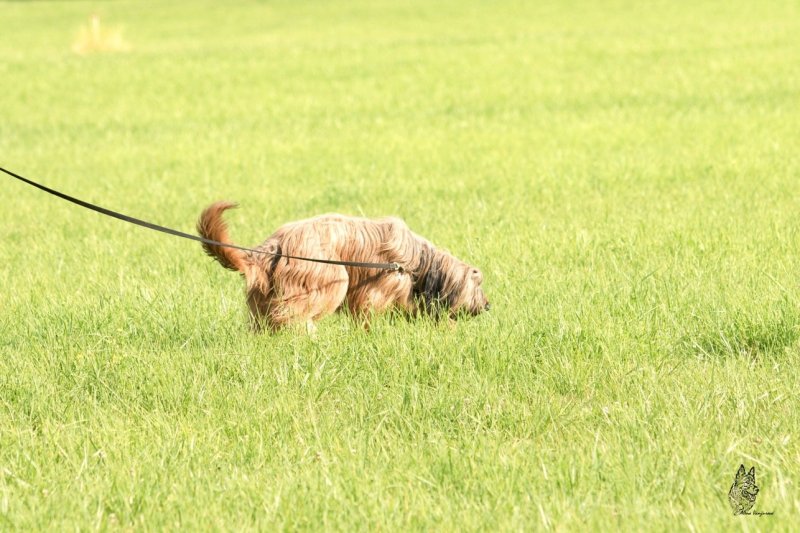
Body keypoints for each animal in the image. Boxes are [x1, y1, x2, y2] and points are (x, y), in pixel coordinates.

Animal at [197, 202, 490, 330]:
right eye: (477, 286)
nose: (488, 306)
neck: (419, 264)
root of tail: (273, 246)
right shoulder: (378, 287)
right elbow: (369, 310)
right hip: (328, 274)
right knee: (293, 314)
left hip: (263, 293)